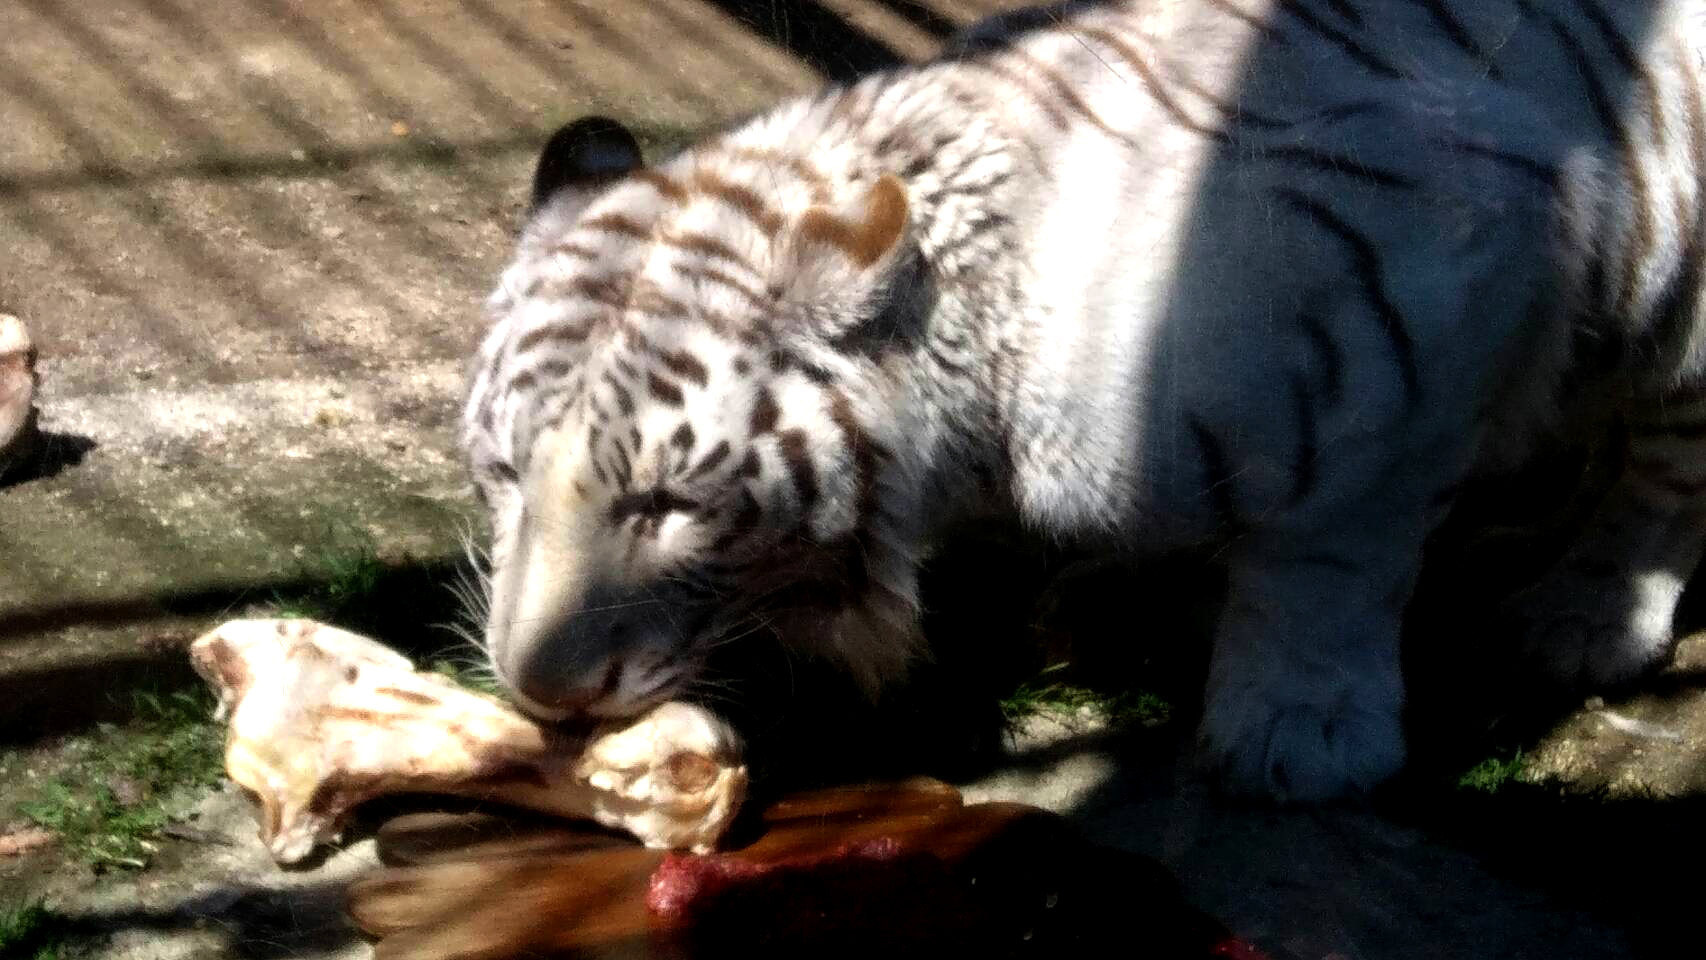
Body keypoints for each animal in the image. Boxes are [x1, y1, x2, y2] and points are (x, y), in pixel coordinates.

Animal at [457, 0, 1706, 804]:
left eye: (666, 503)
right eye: (505, 473)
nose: (541, 692)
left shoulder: (1440, 286)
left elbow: (1326, 557)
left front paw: (1294, 735)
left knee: (1662, 466)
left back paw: (1582, 619)